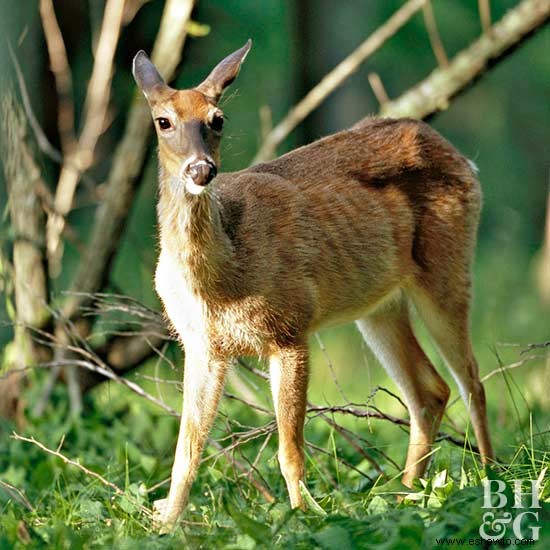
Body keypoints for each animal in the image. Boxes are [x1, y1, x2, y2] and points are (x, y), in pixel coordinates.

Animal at [133, 41, 496, 532]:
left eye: (217, 119)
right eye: (163, 121)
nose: (201, 169)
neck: (223, 278)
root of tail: (461, 157)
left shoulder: (291, 328)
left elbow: (289, 451)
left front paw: (301, 520)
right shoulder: (202, 344)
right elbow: (186, 450)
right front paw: (165, 522)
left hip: (448, 269)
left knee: (472, 381)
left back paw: (490, 480)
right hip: (379, 306)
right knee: (430, 390)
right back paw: (406, 496)